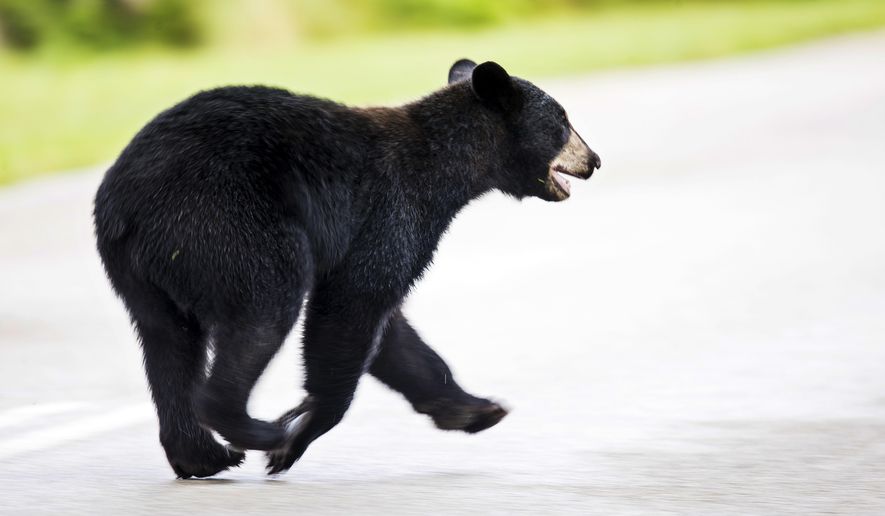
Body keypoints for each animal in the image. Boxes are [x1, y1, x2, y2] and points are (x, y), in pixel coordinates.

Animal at [93, 59, 601, 478]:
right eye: (562, 121)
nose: (594, 160)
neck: (445, 168)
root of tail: (124, 200)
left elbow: (393, 334)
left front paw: (475, 408)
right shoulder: (391, 211)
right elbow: (352, 307)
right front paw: (297, 438)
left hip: (144, 270)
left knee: (168, 342)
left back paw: (201, 455)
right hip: (225, 223)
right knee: (264, 308)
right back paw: (257, 430)